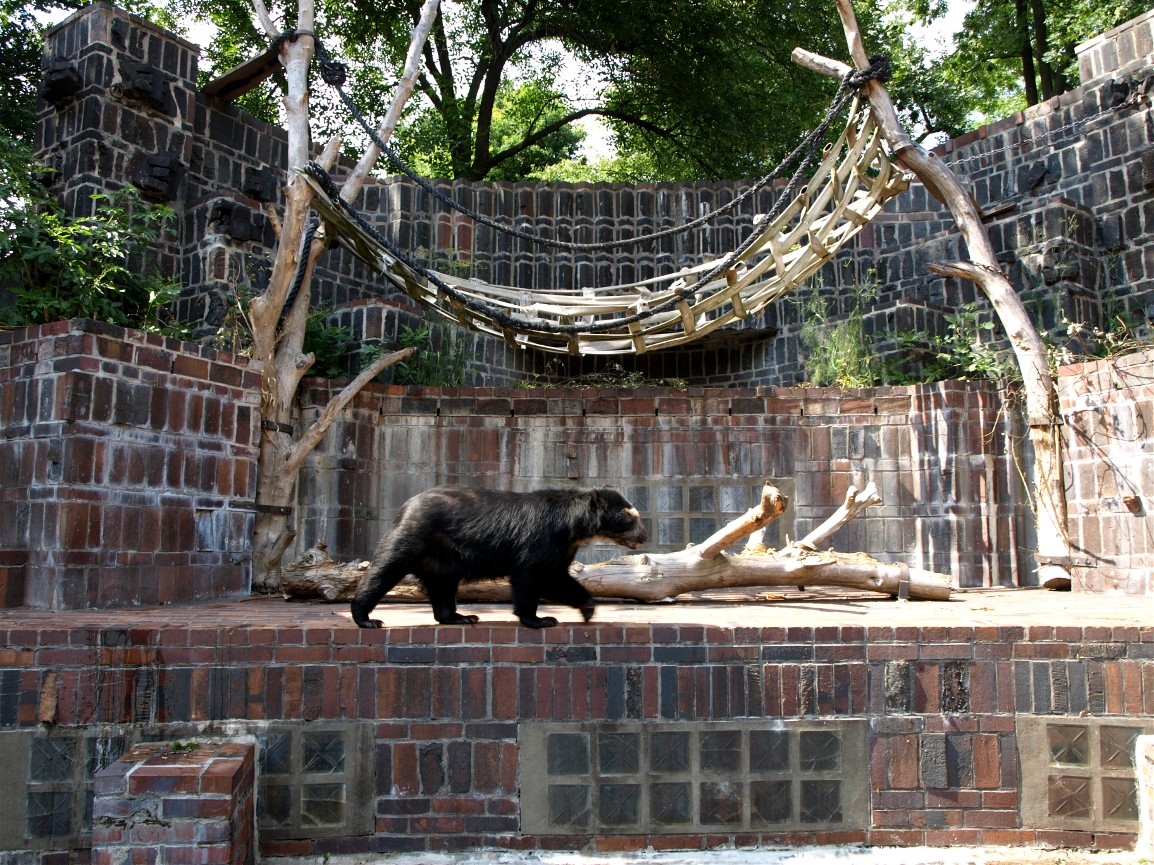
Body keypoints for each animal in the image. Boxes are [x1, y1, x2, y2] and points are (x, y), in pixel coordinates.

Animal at [351, 485, 648, 629]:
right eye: (629, 516)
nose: (645, 535)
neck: (573, 528)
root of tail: (406, 505)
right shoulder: (541, 537)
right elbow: (531, 576)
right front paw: (541, 620)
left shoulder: (563, 547)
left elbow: (557, 577)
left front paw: (587, 609)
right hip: (414, 536)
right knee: (385, 569)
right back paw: (366, 618)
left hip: (443, 557)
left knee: (443, 585)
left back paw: (460, 617)